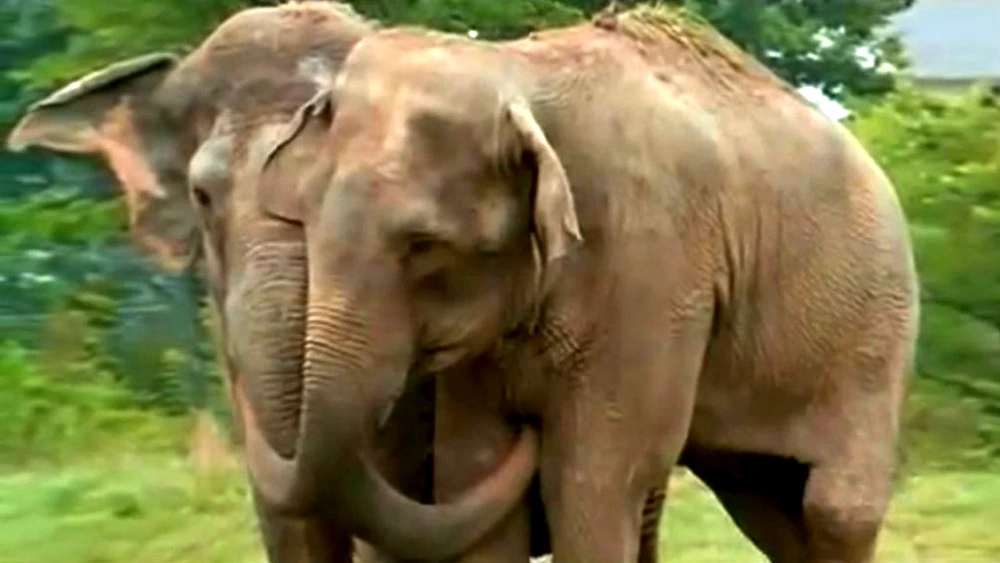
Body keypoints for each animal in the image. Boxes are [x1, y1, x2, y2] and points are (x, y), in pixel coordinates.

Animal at [256, 5, 920, 563]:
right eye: (302, 218)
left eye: (424, 245)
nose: (531, 428)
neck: (517, 72)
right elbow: (473, 471)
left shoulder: (653, 269)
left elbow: (592, 481)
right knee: (766, 502)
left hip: (872, 336)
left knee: (834, 510)